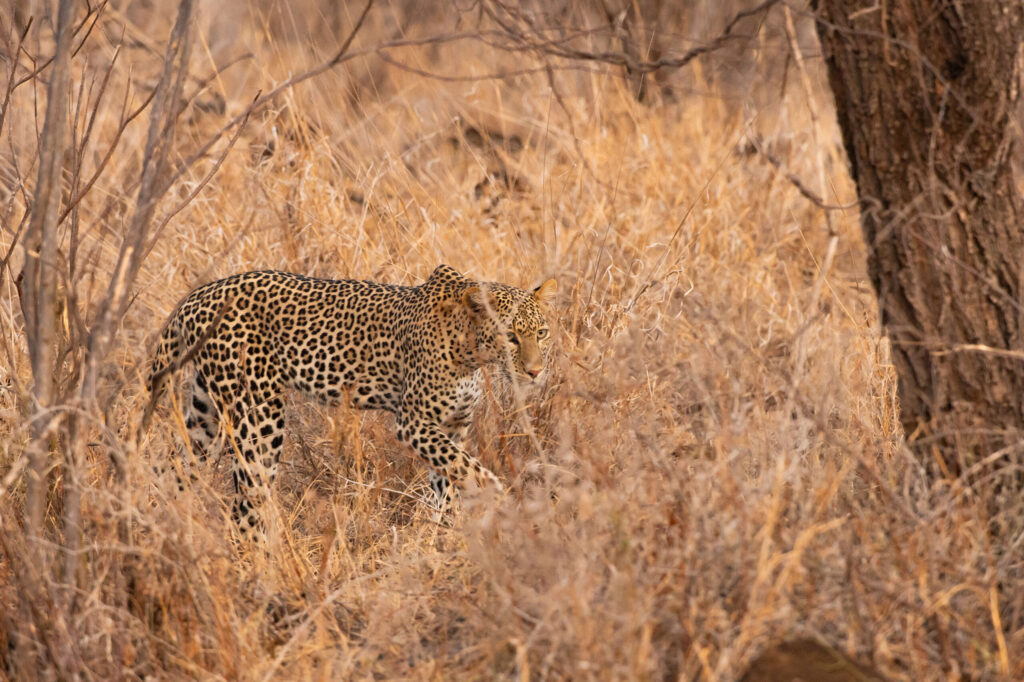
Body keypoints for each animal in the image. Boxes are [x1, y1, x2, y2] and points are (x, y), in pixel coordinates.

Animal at [148, 264, 557, 539]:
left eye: (541, 332)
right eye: (511, 337)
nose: (536, 372)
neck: (471, 353)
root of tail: (195, 297)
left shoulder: (450, 426)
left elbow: (449, 480)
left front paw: (447, 535)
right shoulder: (414, 423)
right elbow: (469, 470)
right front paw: (498, 500)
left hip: (205, 414)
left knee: (170, 470)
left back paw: (158, 526)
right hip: (258, 414)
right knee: (249, 499)